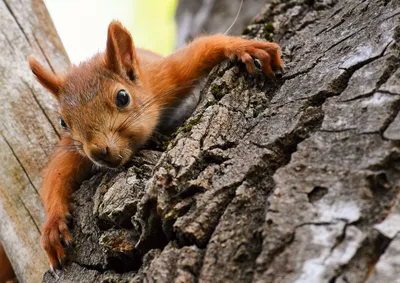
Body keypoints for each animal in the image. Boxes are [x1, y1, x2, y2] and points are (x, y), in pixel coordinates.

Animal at [27, 20, 282, 270]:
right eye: (63, 122)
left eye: (122, 97)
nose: (99, 151)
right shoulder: (72, 149)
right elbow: (56, 174)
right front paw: (53, 224)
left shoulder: (165, 77)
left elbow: (202, 49)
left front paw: (244, 47)